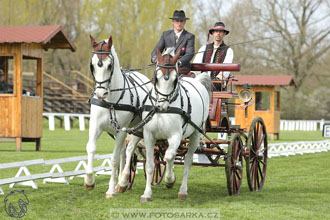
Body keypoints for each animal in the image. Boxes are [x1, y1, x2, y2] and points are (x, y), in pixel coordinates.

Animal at [85, 35, 152, 198]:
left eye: (109, 66)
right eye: (92, 65)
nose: (100, 93)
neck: (110, 101)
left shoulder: (122, 130)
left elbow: (114, 159)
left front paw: (110, 190)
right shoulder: (96, 126)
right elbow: (91, 148)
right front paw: (89, 181)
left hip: (138, 129)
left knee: (129, 150)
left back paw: (122, 182)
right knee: (123, 151)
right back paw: (121, 183)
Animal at [139, 48, 211, 201]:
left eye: (174, 80)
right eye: (157, 78)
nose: (161, 106)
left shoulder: (175, 136)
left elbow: (169, 156)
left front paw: (169, 180)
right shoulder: (149, 136)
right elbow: (150, 164)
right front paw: (147, 194)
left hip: (196, 133)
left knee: (188, 160)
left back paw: (183, 191)